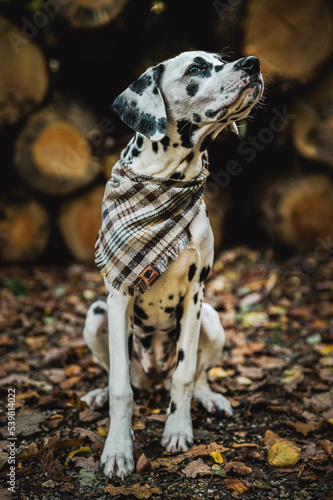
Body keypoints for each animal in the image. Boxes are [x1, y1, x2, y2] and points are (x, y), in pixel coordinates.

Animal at [81, 49, 264, 476]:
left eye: (221, 59)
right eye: (195, 68)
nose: (252, 63)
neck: (165, 181)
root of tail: (153, 378)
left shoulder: (196, 294)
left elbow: (184, 373)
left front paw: (178, 429)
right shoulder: (118, 295)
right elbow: (120, 387)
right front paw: (117, 450)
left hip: (212, 320)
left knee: (196, 375)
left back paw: (210, 397)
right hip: (95, 316)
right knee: (116, 375)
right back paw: (98, 394)